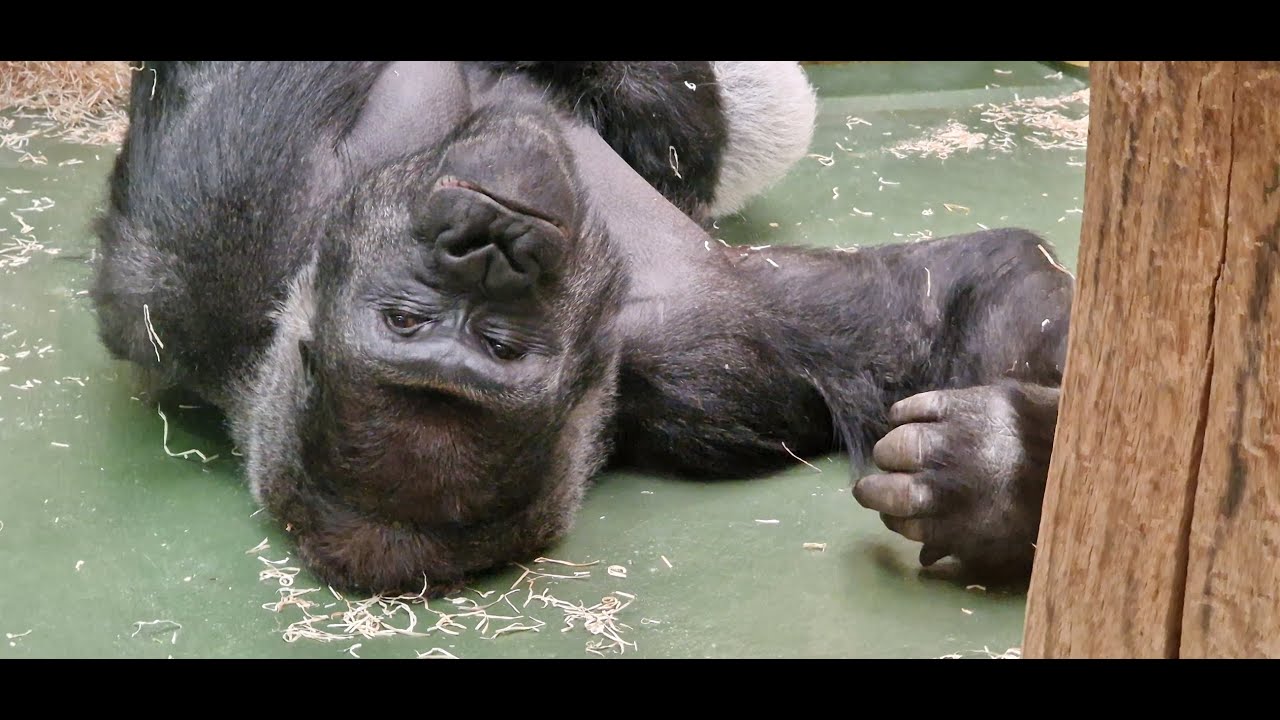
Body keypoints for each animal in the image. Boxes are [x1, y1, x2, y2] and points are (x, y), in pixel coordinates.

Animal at [90, 61, 1072, 594]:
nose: (490, 250)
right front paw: (1005, 472)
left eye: (498, 346)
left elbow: (940, 311)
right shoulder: (207, 249)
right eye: (407, 325)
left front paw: (1003, 468)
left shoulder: (698, 356)